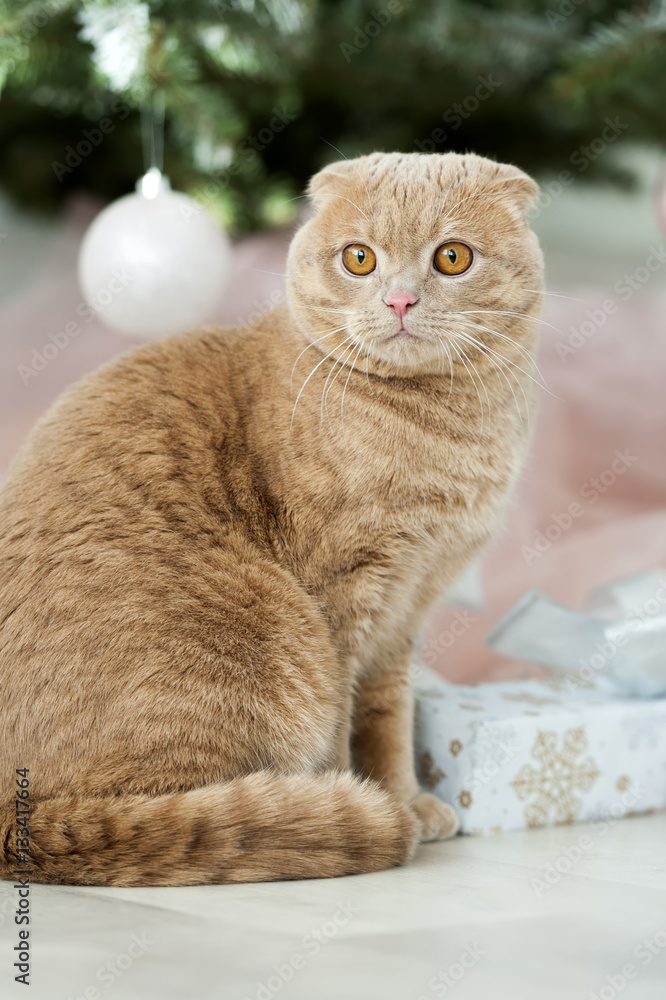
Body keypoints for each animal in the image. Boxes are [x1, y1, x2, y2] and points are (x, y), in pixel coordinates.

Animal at [0, 148, 540, 884]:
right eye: (360, 259)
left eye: (452, 257)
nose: (399, 300)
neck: (447, 429)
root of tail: (15, 823)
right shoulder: (342, 598)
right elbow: (343, 722)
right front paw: (360, 796)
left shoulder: (405, 613)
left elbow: (387, 718)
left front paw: (403, 795)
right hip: (271, 641)